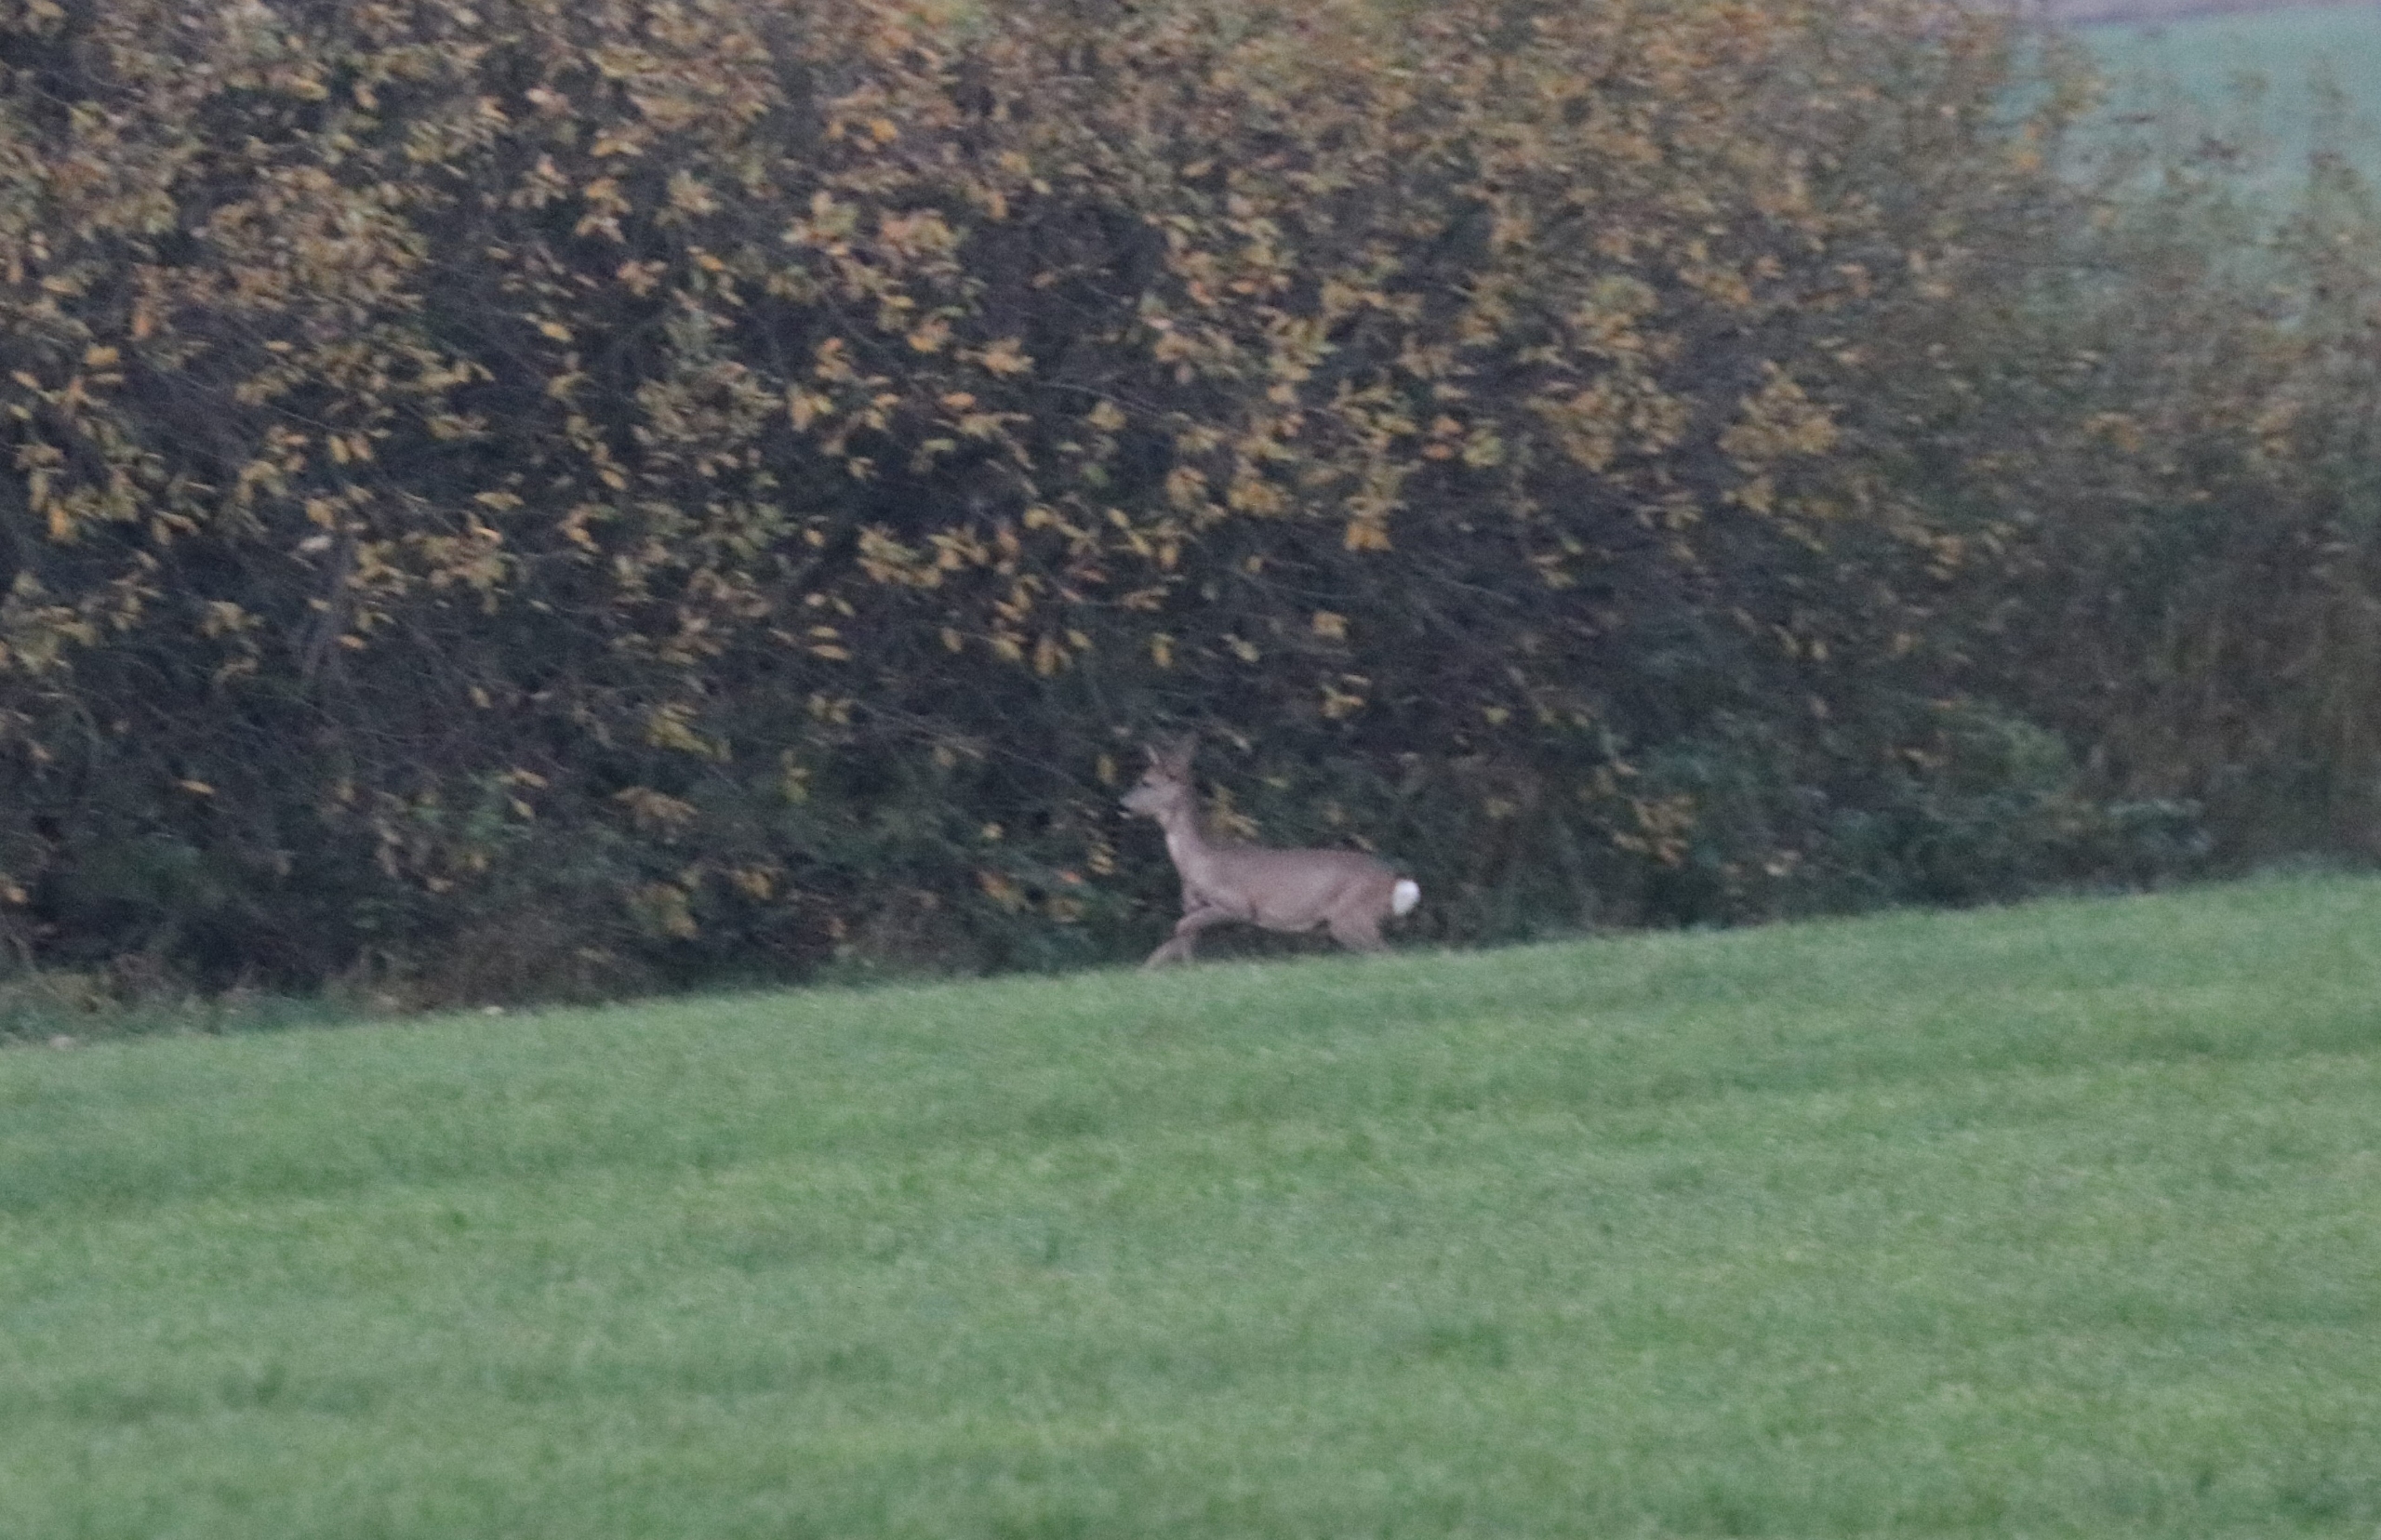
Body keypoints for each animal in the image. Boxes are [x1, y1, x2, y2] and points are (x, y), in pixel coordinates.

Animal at [1120, 736, 1420, 967]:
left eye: (1146, 782)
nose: (1122, 804)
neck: (1199, 862)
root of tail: (1394, 880)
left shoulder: (1238, 904)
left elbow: (1180, 928)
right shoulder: (1192, 906)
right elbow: (1172, 944)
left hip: (1351, 916)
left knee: (1388, 954)